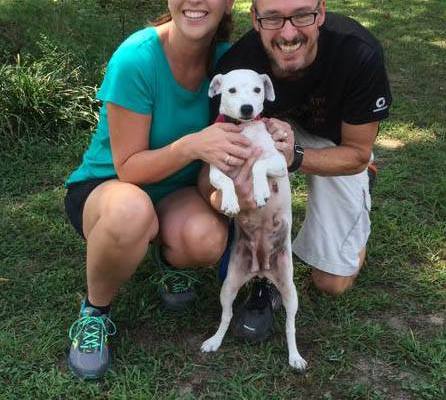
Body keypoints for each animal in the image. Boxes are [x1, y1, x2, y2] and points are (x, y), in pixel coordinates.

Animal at [201, 69, 306, 372]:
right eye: (231, 90)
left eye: (258, 90)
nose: (247, 108)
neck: (244, 130)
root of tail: (261, 269)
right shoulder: (216, 169)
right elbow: (225, 181)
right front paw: (231, 201)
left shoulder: (279, 163)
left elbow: (259, 164)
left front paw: (259, 192)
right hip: (228, 287)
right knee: (225, 317)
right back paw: (214, 341)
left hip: (290, 292)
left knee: (290, 326)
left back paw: (295, 357)